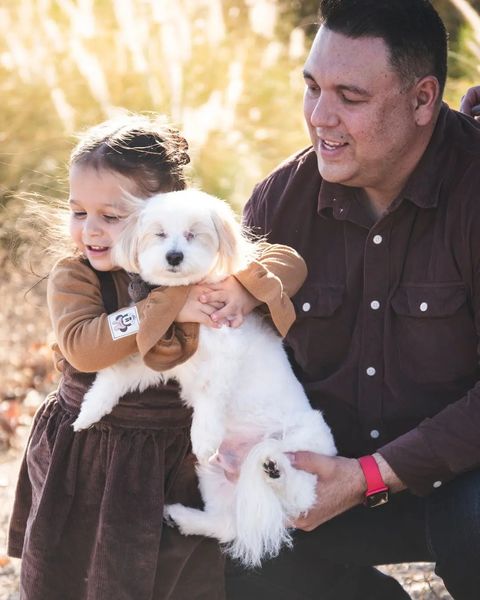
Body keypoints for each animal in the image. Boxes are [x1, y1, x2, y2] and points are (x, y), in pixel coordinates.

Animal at [73, 190, 336, 564]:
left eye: (193, 234)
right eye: (159, 234)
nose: (174, 256)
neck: (189, 303)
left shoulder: (224, 355)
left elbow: (210, 402)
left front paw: (202, 436)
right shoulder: (160, 356)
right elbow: (115, 378)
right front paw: (89, 412)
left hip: (302, 450)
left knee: (299, 494)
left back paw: (274, 468)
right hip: (212, 475)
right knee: (226, 524)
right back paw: (183, 517)